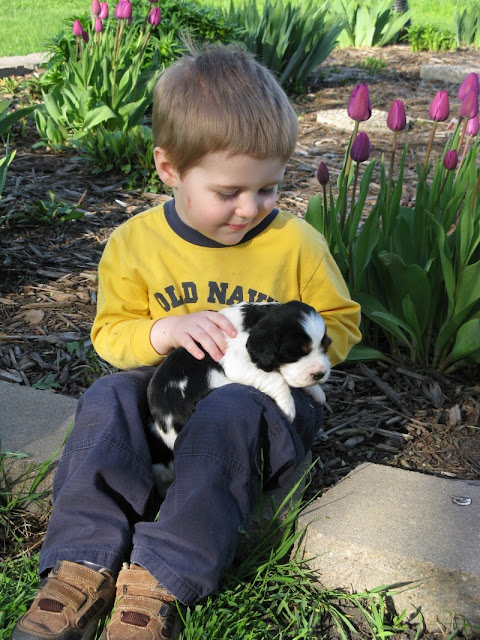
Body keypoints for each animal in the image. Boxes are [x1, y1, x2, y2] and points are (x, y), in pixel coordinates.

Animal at [148, 298, 332, 456]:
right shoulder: (237, 364)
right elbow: (277, 379)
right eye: (296, 353)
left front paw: (317, 391)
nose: (320, 374)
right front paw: (287, 408)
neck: (253, 321)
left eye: (326, 346)